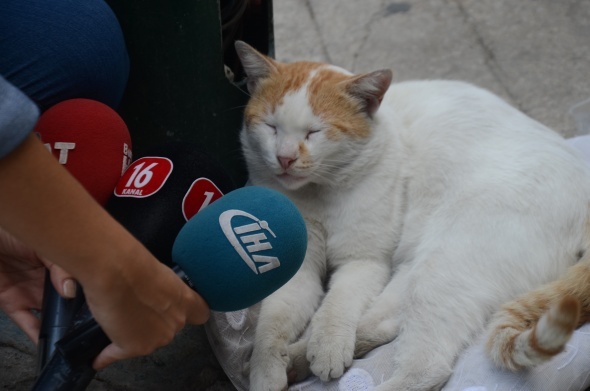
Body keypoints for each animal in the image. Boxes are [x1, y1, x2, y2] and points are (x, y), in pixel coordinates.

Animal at [234, 40, 590, 391]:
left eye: (314, 132)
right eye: (271, 127)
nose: (285, 158)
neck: (316, 195)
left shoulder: (364, 262)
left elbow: (336, 307)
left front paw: (327, 347)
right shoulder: (299, 270)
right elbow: (273, 325)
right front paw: (266, 371)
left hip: (443, 266)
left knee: (426, 366)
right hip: (413, 268)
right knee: (382, 324)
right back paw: (294, 361)